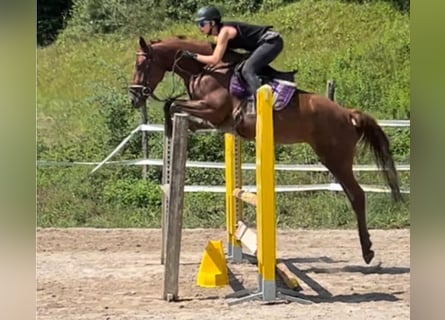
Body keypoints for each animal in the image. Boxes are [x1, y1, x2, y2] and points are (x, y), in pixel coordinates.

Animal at [129, 35, 402, 264]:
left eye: (141, 65)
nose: (134, 97)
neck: (203, 70)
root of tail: (347, 114)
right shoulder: (212, 118)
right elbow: (175, 107)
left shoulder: (212, 109)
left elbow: (172, 104)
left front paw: (170, 129)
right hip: (332, 159)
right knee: (352, 194)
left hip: (337, 158)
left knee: (357, 195)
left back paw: (367, 251)